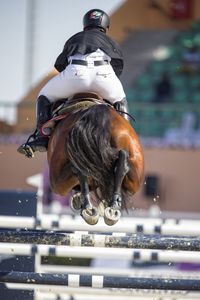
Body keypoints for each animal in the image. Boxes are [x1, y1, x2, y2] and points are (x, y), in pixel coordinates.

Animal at [45, 92, 144, 226]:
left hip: (57, 184)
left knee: (79, 167)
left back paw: (88, 208)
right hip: (135, 176)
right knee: (120, 161)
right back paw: (111, 208)